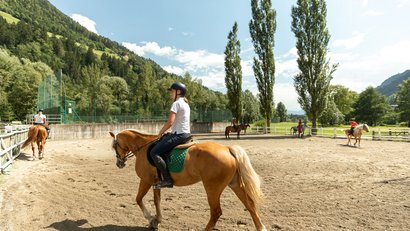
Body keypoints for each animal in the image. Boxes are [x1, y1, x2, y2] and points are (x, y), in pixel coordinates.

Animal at [108, 129, 266, 230]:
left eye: (114, 145)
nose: (119, 163)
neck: (142, 147)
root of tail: (227, 149)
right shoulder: (156, 182)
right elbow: (157, 200)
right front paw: (157, 220)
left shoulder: (146, 180)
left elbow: (138, 199)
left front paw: (150, 218)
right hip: (234, 184)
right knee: (250, 205)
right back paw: (260, 227)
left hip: (212, 188)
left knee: (216, 212)